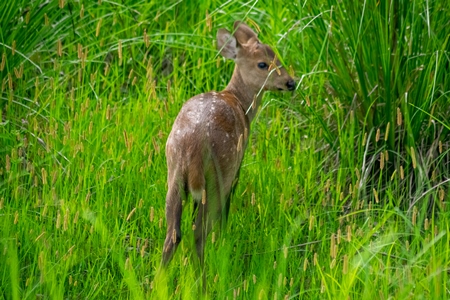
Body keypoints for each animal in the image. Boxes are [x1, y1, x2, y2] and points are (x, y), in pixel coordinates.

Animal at [162, 20, 296, 270]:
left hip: (174, 175)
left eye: (276, 55)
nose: (290, 82)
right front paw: (224, 240)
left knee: (173, 234)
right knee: (199, 232)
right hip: (218, 175)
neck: (240, 102)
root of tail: (193, 148)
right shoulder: (238, 163)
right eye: (262, 64)